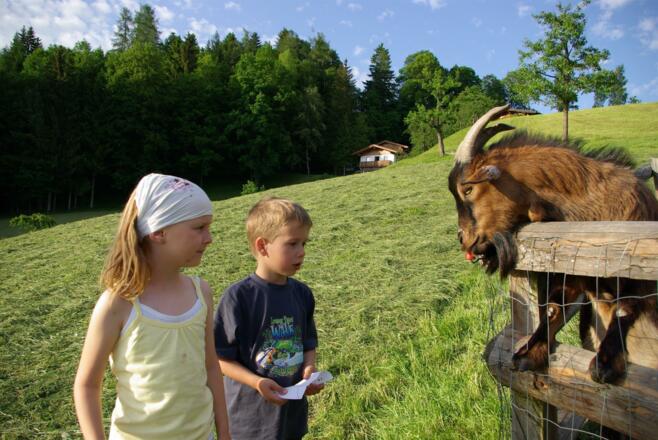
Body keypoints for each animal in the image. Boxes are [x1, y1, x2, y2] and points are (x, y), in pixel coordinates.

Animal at [448, 104, 658, 384]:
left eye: (468, 189)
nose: (464, 240)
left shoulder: (634, 266)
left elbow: (627, 305)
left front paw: (604, 364)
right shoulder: (574, 271)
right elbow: (553, 308)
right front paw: (528, 353)